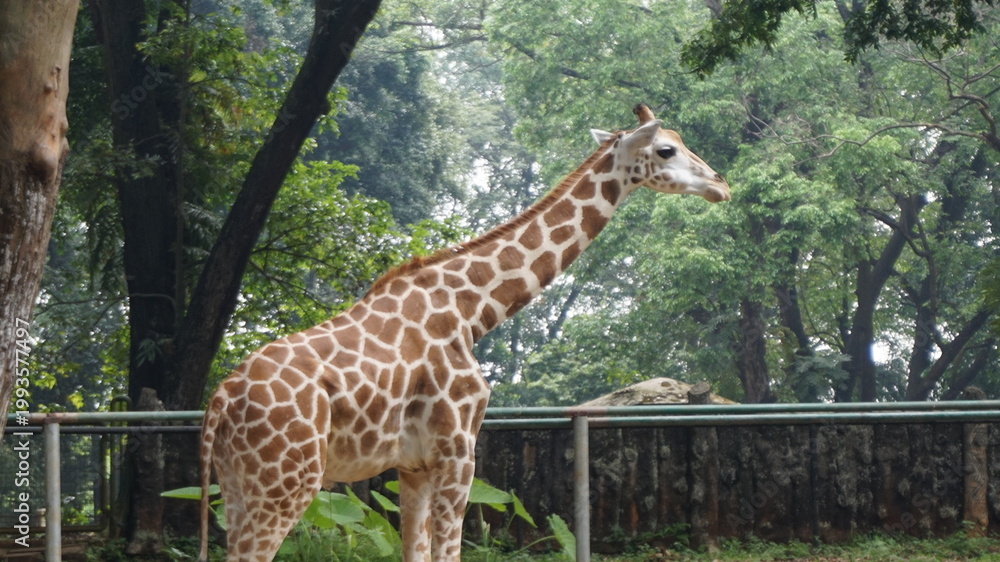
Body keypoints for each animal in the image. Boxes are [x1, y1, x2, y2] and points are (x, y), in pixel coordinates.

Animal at [197, 104, 730, 562]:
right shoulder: (457, 451)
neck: (473, 311)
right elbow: (448, 552)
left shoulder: (411, 466)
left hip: (236, 484)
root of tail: (220, 399)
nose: (720, 185)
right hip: (288, 481)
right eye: (667, 149)